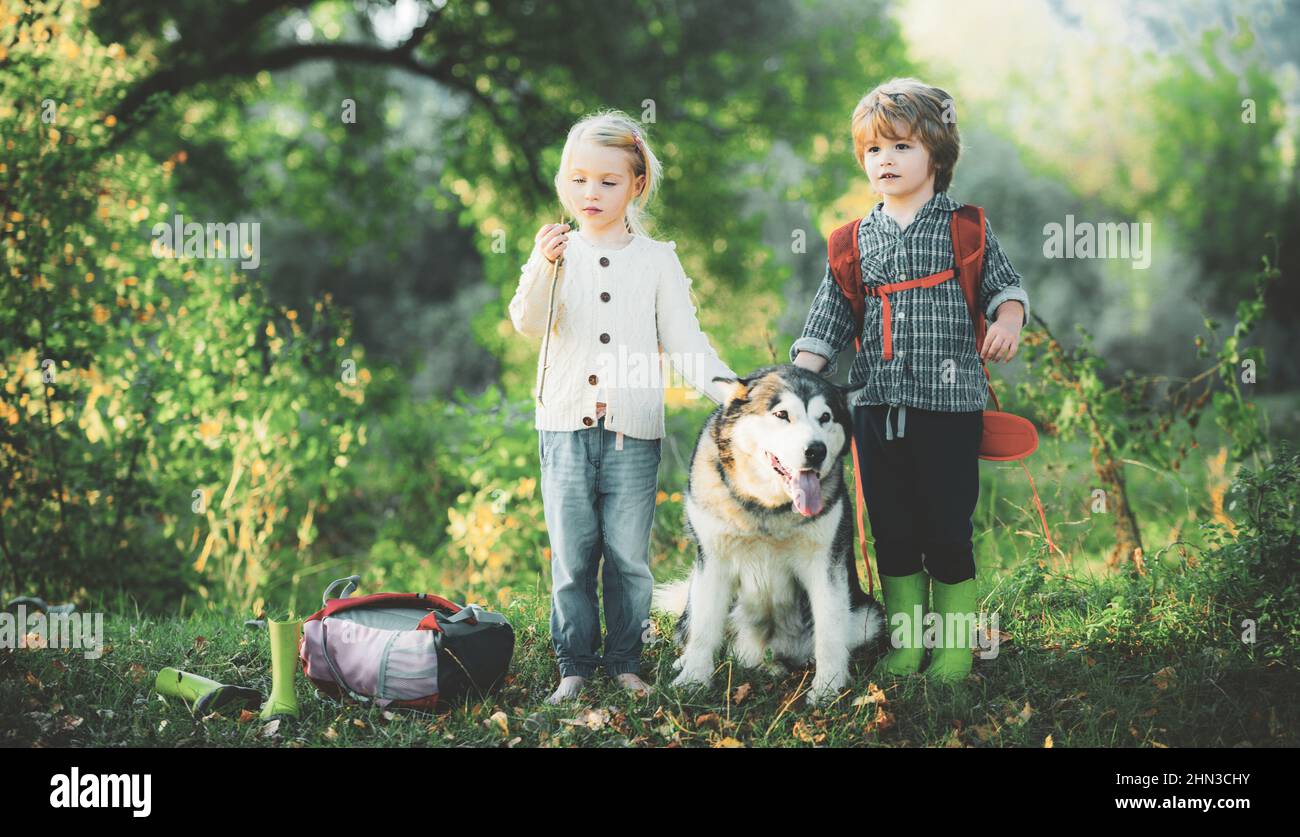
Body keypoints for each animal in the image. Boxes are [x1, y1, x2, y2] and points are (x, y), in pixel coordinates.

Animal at [655, 363, 889, 707]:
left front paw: (828, 688)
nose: (816, 451)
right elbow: (704, 629)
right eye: (782, 415)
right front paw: (693, 679)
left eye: (825, 417)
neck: (767, 507)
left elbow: (830, 632)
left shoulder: (825, 564)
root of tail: (765, 651)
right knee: (696, 625)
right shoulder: (713, 561)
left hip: (867, 617)